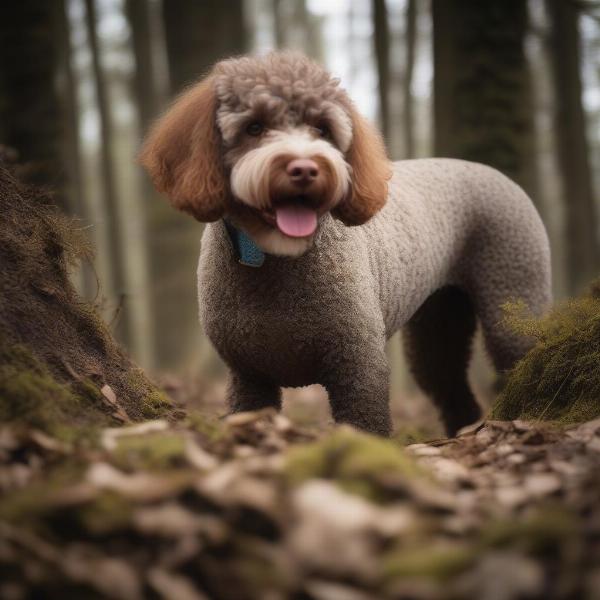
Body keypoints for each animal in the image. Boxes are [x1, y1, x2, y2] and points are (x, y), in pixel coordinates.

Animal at [141, 51, 552, 436]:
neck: (277, 256)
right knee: (453, 391)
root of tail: (499, 176)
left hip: (512, 298)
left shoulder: (359, 365)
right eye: (253, 127)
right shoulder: (248, 375)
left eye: (322, 128)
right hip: (438, 320)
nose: (305, 169)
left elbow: (366, 424)